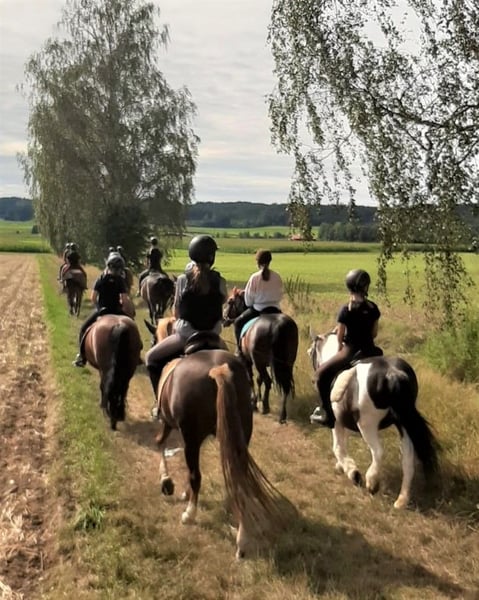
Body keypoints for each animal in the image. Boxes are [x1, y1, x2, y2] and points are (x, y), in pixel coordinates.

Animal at [152, 318, 296, 558]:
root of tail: (218, 371)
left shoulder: (169, 424)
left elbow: (160, 444)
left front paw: (167, 483)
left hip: (191, 436)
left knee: (196, 474)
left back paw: (189, 515)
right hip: (239, 435)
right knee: (238, 479)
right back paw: (242, 537)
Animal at [223, 288, 299, 424]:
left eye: (230, 301)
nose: (223, 318)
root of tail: (278, 325)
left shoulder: (248, 361)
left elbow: (251, 379)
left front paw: (254, 402)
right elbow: (259, 380)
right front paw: (257, 399)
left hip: (259, 361)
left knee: (268, 381)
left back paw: (265, 407)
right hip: (287, 363)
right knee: (285, 385)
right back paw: (282, 415)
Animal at [307, 330, 440, 509]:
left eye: (312, 352)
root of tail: (393, 374)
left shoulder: (336, 422)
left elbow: (338, 447)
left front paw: (352, 472)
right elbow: (343, 444)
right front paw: (342, 466)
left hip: (367, 425)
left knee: (378, 451)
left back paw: (372, 483)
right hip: (403, 424)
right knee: (408, 460)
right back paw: (401, 500)